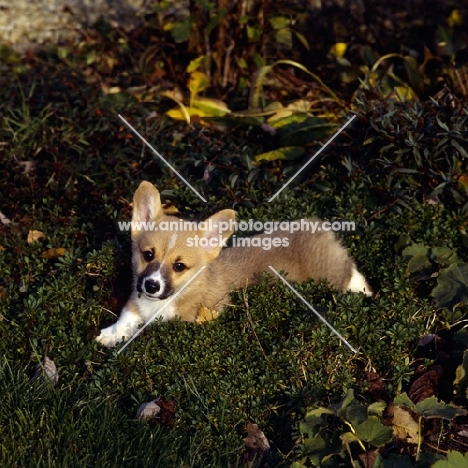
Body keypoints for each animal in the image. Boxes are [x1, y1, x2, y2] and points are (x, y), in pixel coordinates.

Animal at [96, 182, 372, 348]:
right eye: (148, 255)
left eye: (179, 266)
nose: (151, 286)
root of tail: (318, 226)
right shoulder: (136, 300)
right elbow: (127, 316)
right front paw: (111, 334)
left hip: (330, 273)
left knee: (350, 273)